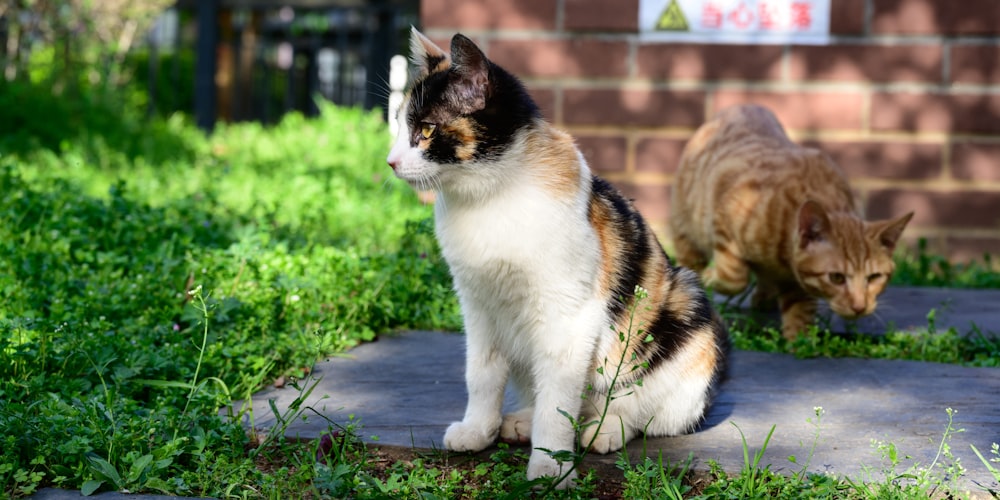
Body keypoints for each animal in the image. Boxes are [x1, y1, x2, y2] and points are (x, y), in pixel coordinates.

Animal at [388, 28, 728, 488]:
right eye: (399, 126)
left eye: (425, 129)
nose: (391, 162)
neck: (489, 196)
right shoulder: (477, 304)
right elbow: (482, 373)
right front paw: (478, 430)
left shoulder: (569, 314)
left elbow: (558, 399)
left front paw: (551, 465)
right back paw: (521, 422)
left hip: (690, 311)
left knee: (643, 411)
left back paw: (603, 429)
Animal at [672, 104, 916, 340]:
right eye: (836, 278)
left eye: (874, 277)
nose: (859, 307)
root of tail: (741, 105)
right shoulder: (724, 220)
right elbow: (733, 278)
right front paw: (709, 277)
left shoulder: (798, 281)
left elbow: (800, 313)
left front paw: (800, 342)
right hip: (687, 229)